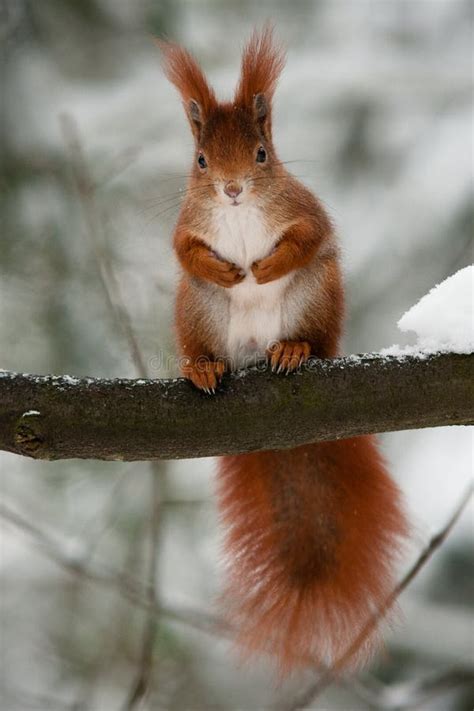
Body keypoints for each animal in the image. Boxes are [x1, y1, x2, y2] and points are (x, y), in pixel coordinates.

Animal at [161, 26, 410, 672]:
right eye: (201, 160)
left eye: (261, 155)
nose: (230, 190)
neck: (239, 216)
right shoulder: (185, 226)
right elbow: (184, 251)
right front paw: (228, 270)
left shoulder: (305, 210)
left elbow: (309, 236)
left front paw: (264, 266)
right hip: (195, 309)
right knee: (203, 336)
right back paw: (203, 365)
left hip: (316, 296)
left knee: (312, 331)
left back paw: (295, 350)